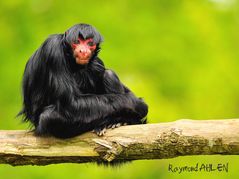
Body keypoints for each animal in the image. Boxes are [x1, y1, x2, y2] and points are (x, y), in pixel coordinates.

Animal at [19, 23, 148, 138]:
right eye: (76, 42)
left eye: (90, 44)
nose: (83, 50)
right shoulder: (53, 49)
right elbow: (71, 104)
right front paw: (137, 104)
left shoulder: (98, 61)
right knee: (49, 117)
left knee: (108, 73)